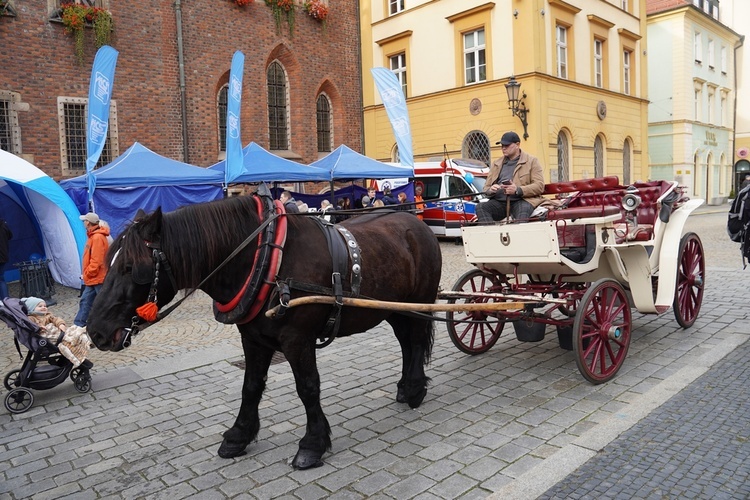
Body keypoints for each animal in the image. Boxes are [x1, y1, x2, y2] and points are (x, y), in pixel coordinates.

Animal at [86, 190, 444, 468]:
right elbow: (251, 387)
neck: (268, 258)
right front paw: (238, 436)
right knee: (406, 343)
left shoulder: (297, 340)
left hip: (418, 303)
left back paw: (415, 389)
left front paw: (312, 444)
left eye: (131, 267)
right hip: (393, 308)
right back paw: (406, 387)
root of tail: (418, 224)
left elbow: (308, 388)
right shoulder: (253, 339)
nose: (95, 331)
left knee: (414, 341)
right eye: (109, 263)